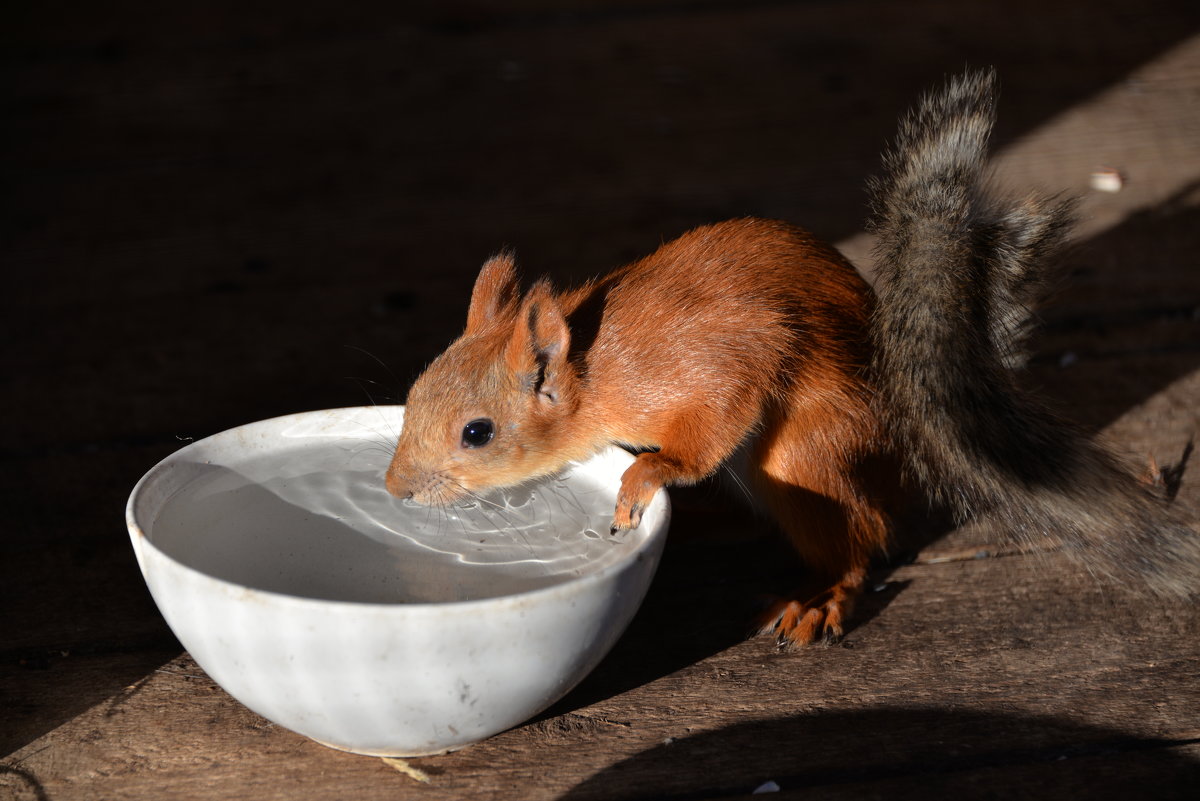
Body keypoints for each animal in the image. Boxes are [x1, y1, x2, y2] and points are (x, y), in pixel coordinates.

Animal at [386, 67, 1200, 642]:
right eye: (416, 392)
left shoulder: (712, 363)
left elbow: (707, 423)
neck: (599, 369)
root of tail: (904, 434)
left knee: (864, 540)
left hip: (804, 454)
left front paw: (649, 474)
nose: (395, 488)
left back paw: (821, 596)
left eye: (478, 432)